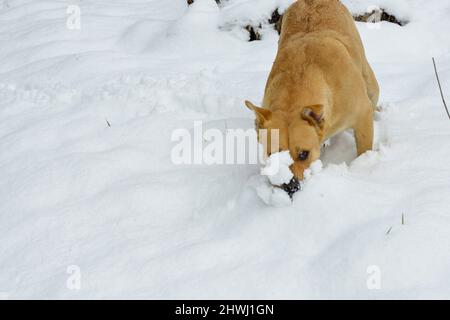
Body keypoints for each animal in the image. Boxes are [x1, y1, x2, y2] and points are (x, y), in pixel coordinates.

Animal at [246, 0, 380, 185]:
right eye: (272, 154)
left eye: (304, 154)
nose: (289, 186)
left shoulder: (362, 115)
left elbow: (364, 149)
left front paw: (363, 165)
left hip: (370, 84)